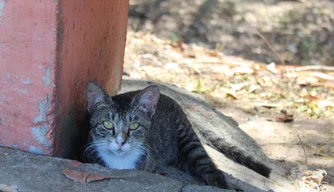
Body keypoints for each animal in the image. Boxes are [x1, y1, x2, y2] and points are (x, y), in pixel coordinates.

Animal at [83, 81, 272, 189]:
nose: (121, 142)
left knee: (208, 166)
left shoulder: (154, 167)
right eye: (107, 124)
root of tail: (173, 99)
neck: (120, 163)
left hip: (187, 139)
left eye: (134, 125)